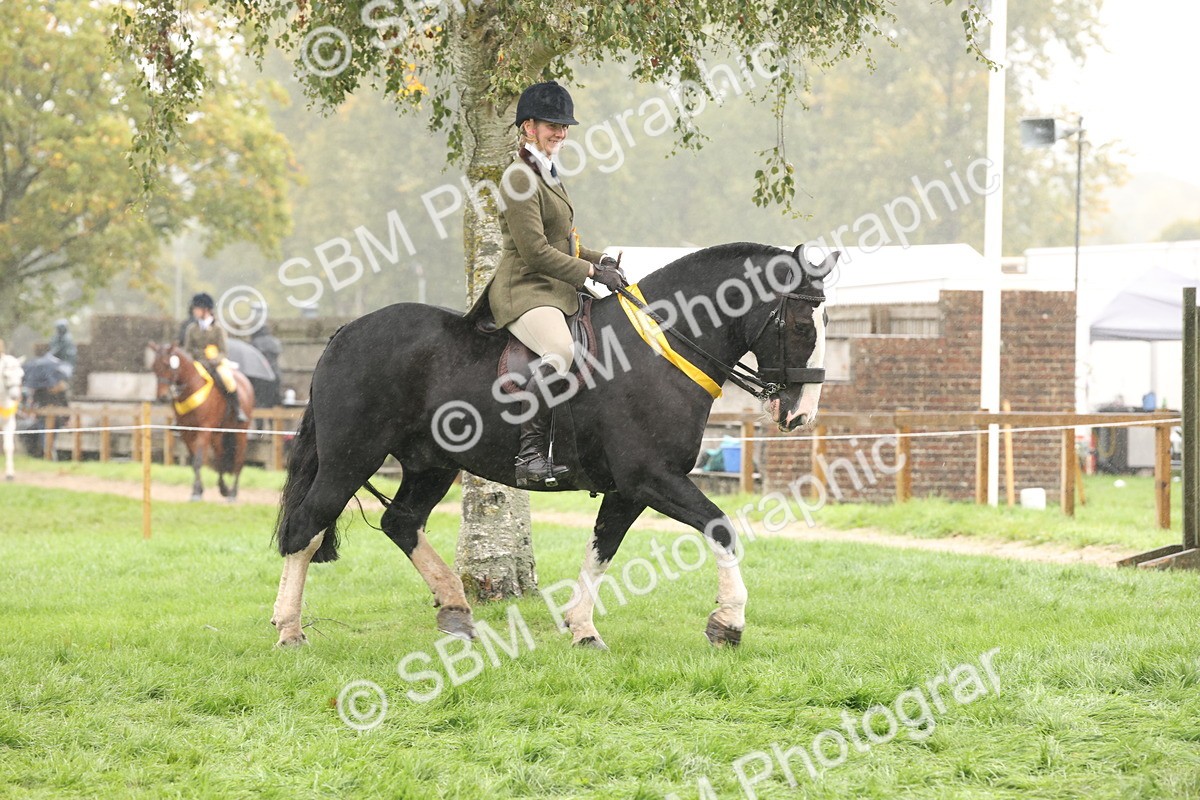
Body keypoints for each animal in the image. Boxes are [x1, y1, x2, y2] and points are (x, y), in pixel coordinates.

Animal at [149, 343, 254, 501]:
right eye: (154, 367)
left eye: (167, 365)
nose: (162, 397)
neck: (191, 388)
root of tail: (244, 380)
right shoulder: (186, 432)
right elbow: (194, 461)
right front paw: (198, 490)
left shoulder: (204, 429)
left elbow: (198, 460)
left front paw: (197, 492)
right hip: (218, 434)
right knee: (220, 457)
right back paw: (224, 489)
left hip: (240, 432)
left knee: (239, 458)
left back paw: (233, 493)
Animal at [270, 242, 834, 650]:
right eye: (801, 324)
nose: (800, 414)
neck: (660, 347)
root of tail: (346, 331)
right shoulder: (652, 478)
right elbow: (720, 528)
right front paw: (728, 623)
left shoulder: (629, 490)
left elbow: (602, 548)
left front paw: (581, 627)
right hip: (350, 459)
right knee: (306, 527)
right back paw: (290, 631)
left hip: (432, 465)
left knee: (400, 523)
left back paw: (455, 609)